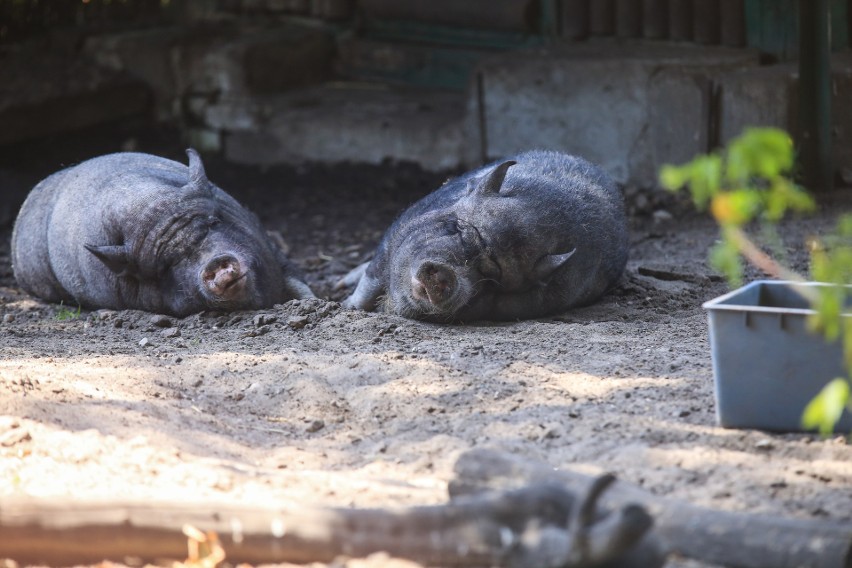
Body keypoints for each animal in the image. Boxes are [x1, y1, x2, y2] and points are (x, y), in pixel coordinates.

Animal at [338, 149, 624, 322]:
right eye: (457, 230)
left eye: (490, 275)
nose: (444, 273)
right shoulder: (391, 239)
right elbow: (367, 287)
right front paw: (345, 305)